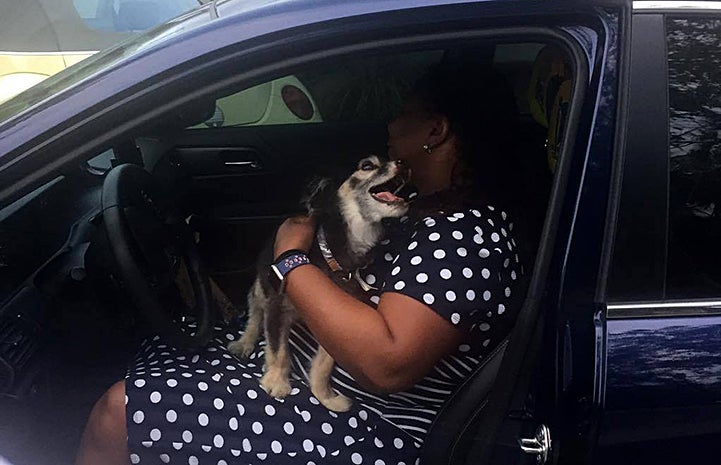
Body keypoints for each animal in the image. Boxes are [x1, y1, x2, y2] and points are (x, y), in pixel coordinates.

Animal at [228, 155, 414, 410]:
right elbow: (278, 349)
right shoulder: (276, 304)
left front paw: (325, 397)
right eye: (367, 166)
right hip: (261, 287)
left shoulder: (331, 321)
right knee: (255, 313)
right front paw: (276, 381)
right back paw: (244, 342)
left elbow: (324, 365)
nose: (403, 162)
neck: (331, 253)